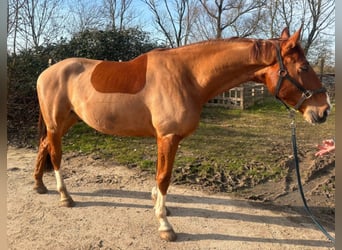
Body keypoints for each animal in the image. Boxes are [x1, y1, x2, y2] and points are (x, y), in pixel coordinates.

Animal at [33, 27, 330, 242]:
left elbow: (160, 175)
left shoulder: (165, 139)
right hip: (57, 124)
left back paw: (39, 185)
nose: (324, 110)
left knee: (43, 145)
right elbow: (164, 177)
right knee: (55, 155)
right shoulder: (168, 137)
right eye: (303, 68)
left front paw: (159, 206)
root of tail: (46, 70)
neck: (187, 76)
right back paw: (64, 196)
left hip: (67, 121)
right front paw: (165, 225)